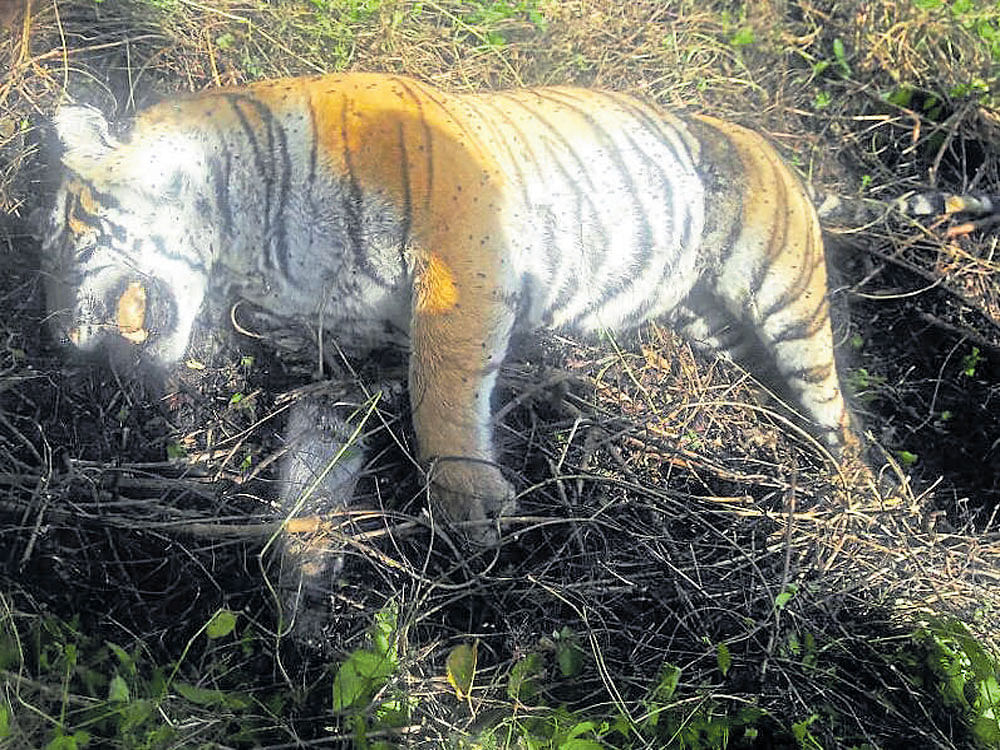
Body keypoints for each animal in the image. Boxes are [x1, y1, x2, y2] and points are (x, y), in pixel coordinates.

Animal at [41, 73, 860, 548]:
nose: (60, 338)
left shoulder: (460, 245)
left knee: (834, 403)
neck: (251, 243)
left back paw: (857, 486)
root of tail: (778, 154)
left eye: (58, 232)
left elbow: (443, 377)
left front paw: (468, 501)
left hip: (782, 293)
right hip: (710, 322)